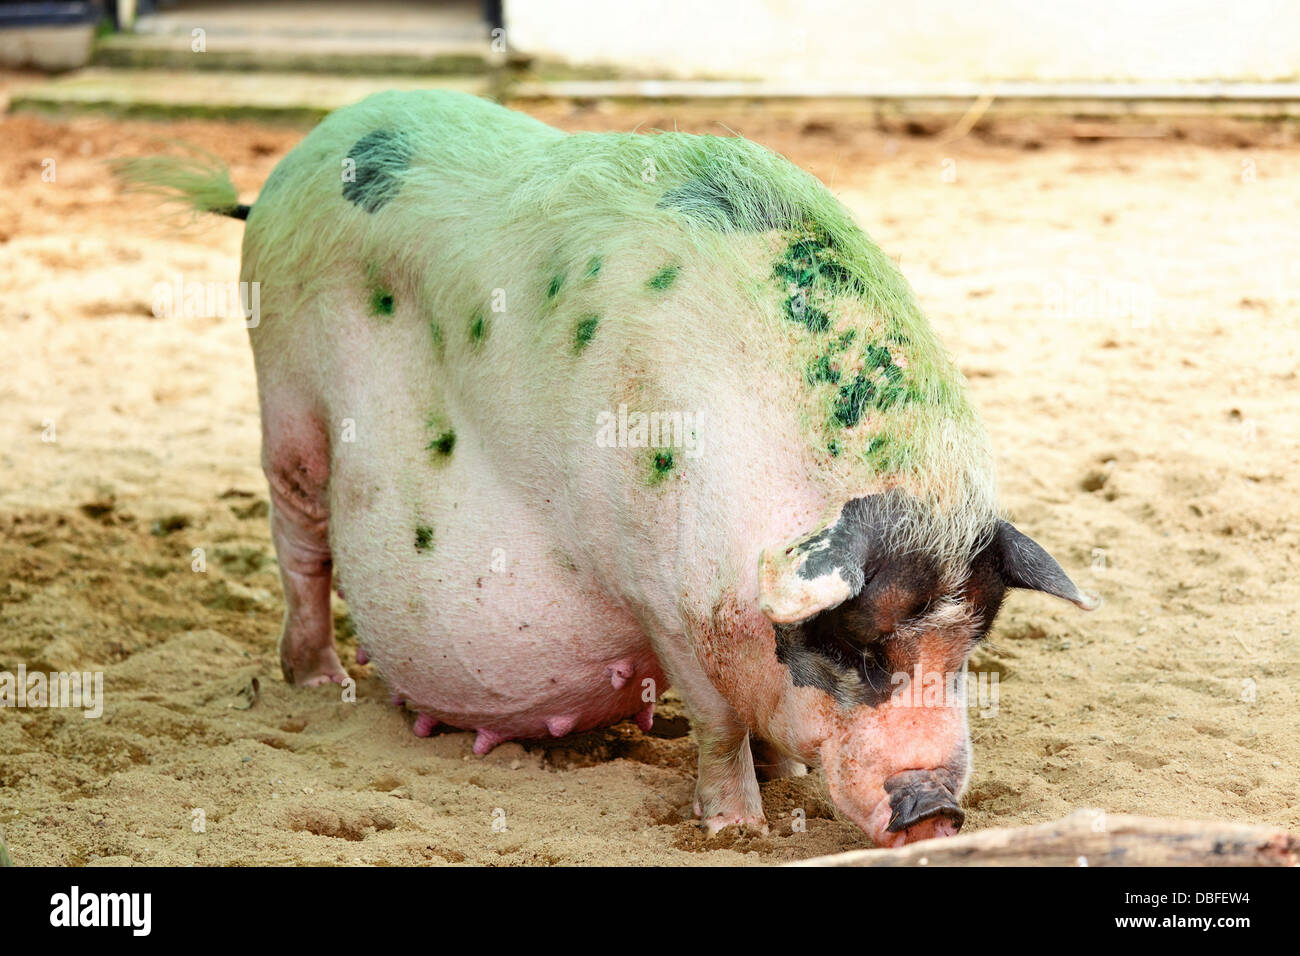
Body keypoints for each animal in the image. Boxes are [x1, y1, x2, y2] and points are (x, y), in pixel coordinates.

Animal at [114, 90, 1096, 847]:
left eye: (968, 649)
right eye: (854, 647)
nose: (937, 810)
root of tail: (281, 174)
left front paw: (780, 780)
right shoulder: (657, 591)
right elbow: (715, 722)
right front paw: (737, 827)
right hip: (286, 403)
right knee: (300, 545)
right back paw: (323, 684)